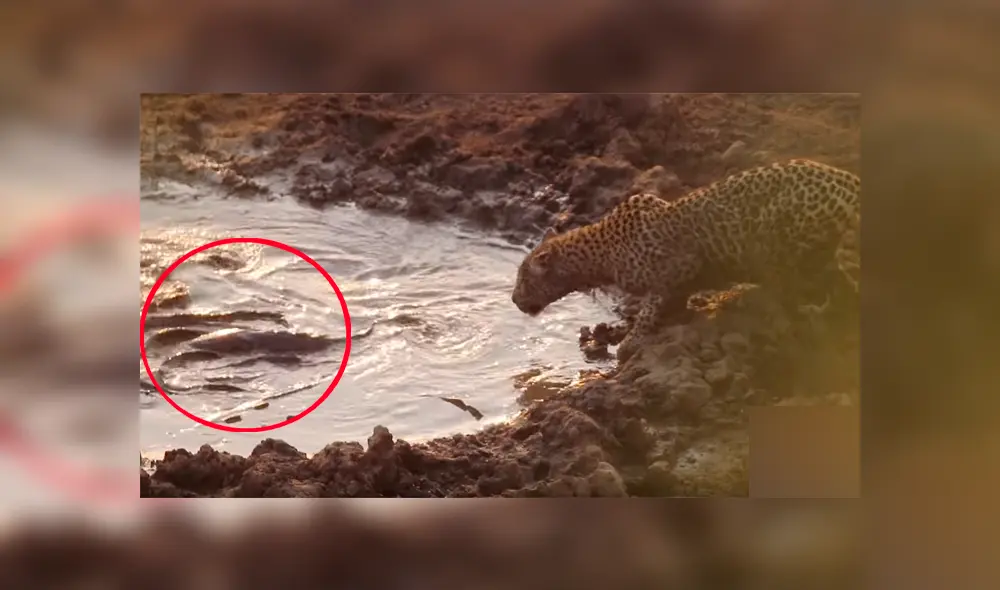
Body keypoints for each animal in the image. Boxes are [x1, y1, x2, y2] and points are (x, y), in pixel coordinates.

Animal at [511, 159, 860, 363]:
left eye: (524, 279)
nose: (514, 299)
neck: (600, 256)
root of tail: (849, 182)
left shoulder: (682, 263)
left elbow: (652, 304)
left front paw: (630, 341)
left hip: (776, 233)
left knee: (799, 283)